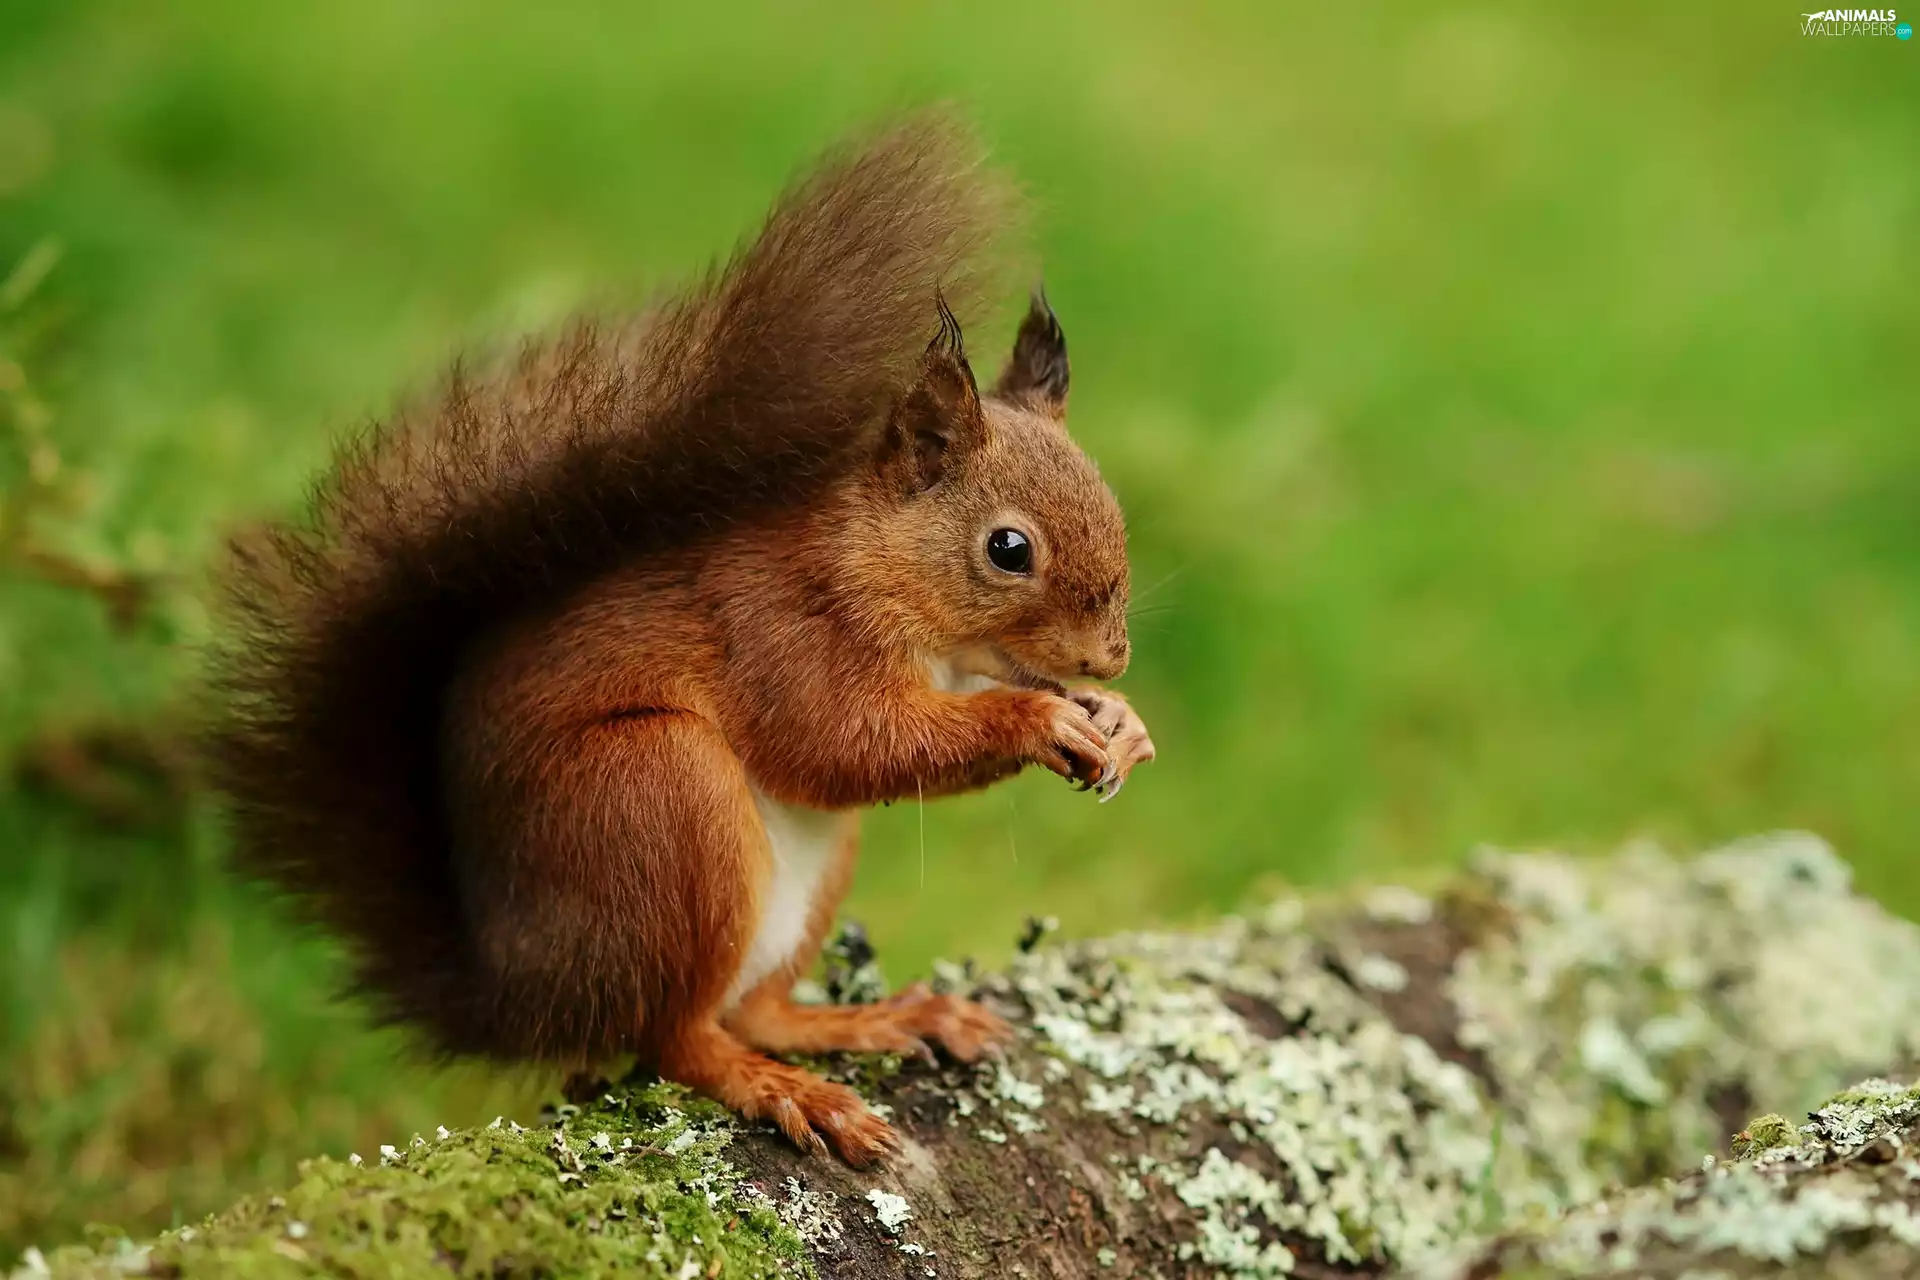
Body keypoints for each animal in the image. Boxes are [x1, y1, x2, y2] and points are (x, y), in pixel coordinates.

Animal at [204, 116, 1155, 1166]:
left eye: (1113, 506)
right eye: (1008, 549)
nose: (1109, 657)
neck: (878, 565)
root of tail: (524, 990)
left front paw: (1119, 721)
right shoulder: (782, 626)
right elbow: (848, 743)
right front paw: (1041, 720)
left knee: (753, 1012)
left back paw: (875, 1022)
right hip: (655, 794)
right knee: (679, 1037)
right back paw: (784, 1089)